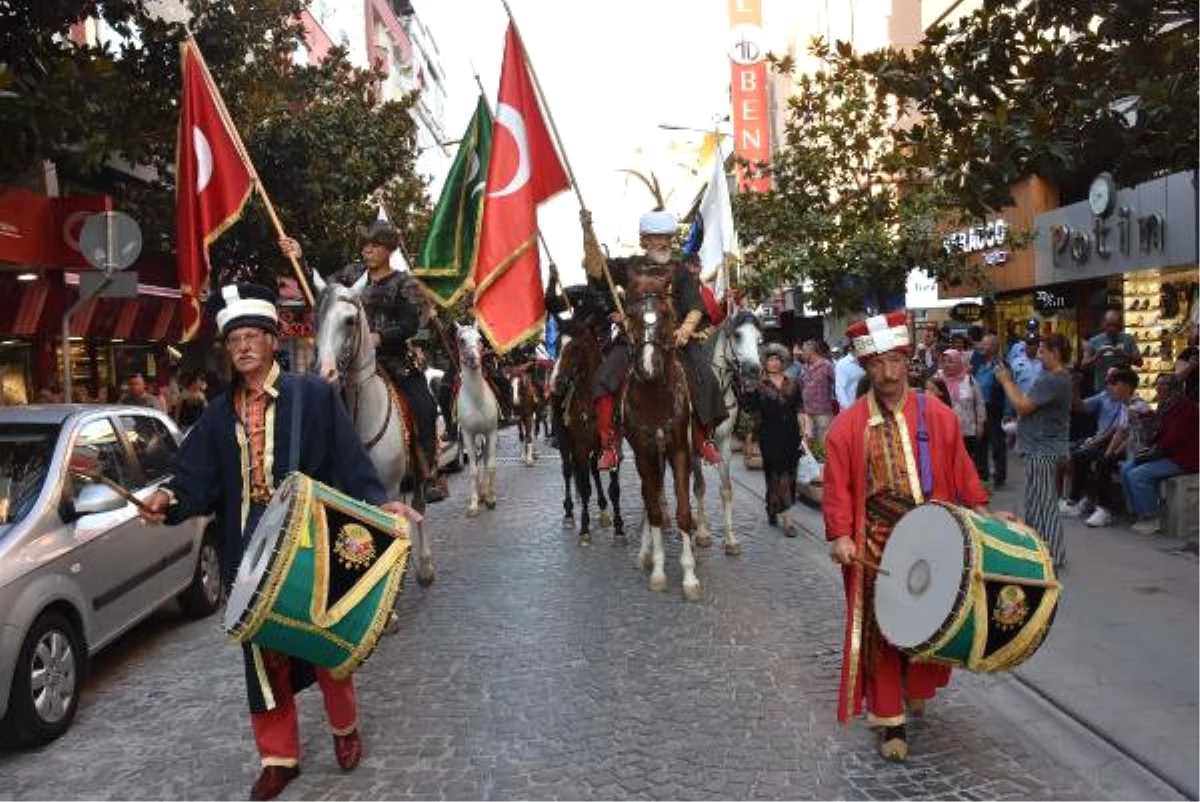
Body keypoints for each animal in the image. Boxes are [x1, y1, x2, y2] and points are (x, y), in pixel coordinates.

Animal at [554, 326, 628, 545]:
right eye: (556, 345)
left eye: (576, 347)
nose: (559, 383)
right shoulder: (580, 446)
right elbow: (585, 487)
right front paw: (585, 529)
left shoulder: (613, 445)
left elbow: (614, 489)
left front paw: (618, 528)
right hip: (565, 441)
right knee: (568, 471)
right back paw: (569, 513)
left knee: (594, 469)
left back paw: (603, 510)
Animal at [691, 309, 763, 554]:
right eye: (738, 335)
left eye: (759, 339)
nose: (754, 370)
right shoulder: (692, 444)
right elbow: (700, 487)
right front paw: (702, 534)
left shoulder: (723, 443)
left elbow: (726, 489)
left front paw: (730, 539)